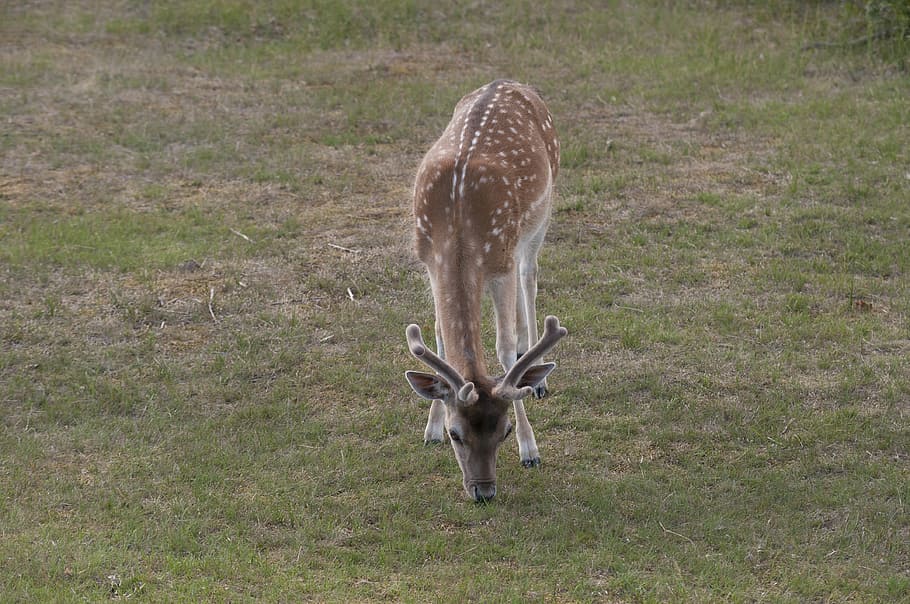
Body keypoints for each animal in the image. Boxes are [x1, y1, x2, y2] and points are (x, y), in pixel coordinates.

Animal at [404, 79, 567, 502]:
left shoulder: (499, 263)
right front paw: (428, 430)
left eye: (504, 431)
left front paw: (531, 450)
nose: (483, 492)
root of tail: (508, 83)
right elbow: (439, 335)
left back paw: (538, 378)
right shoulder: (429, 260)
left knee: (529, 275)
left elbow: (504, 349)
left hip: (541, 212)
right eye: (455, 433)